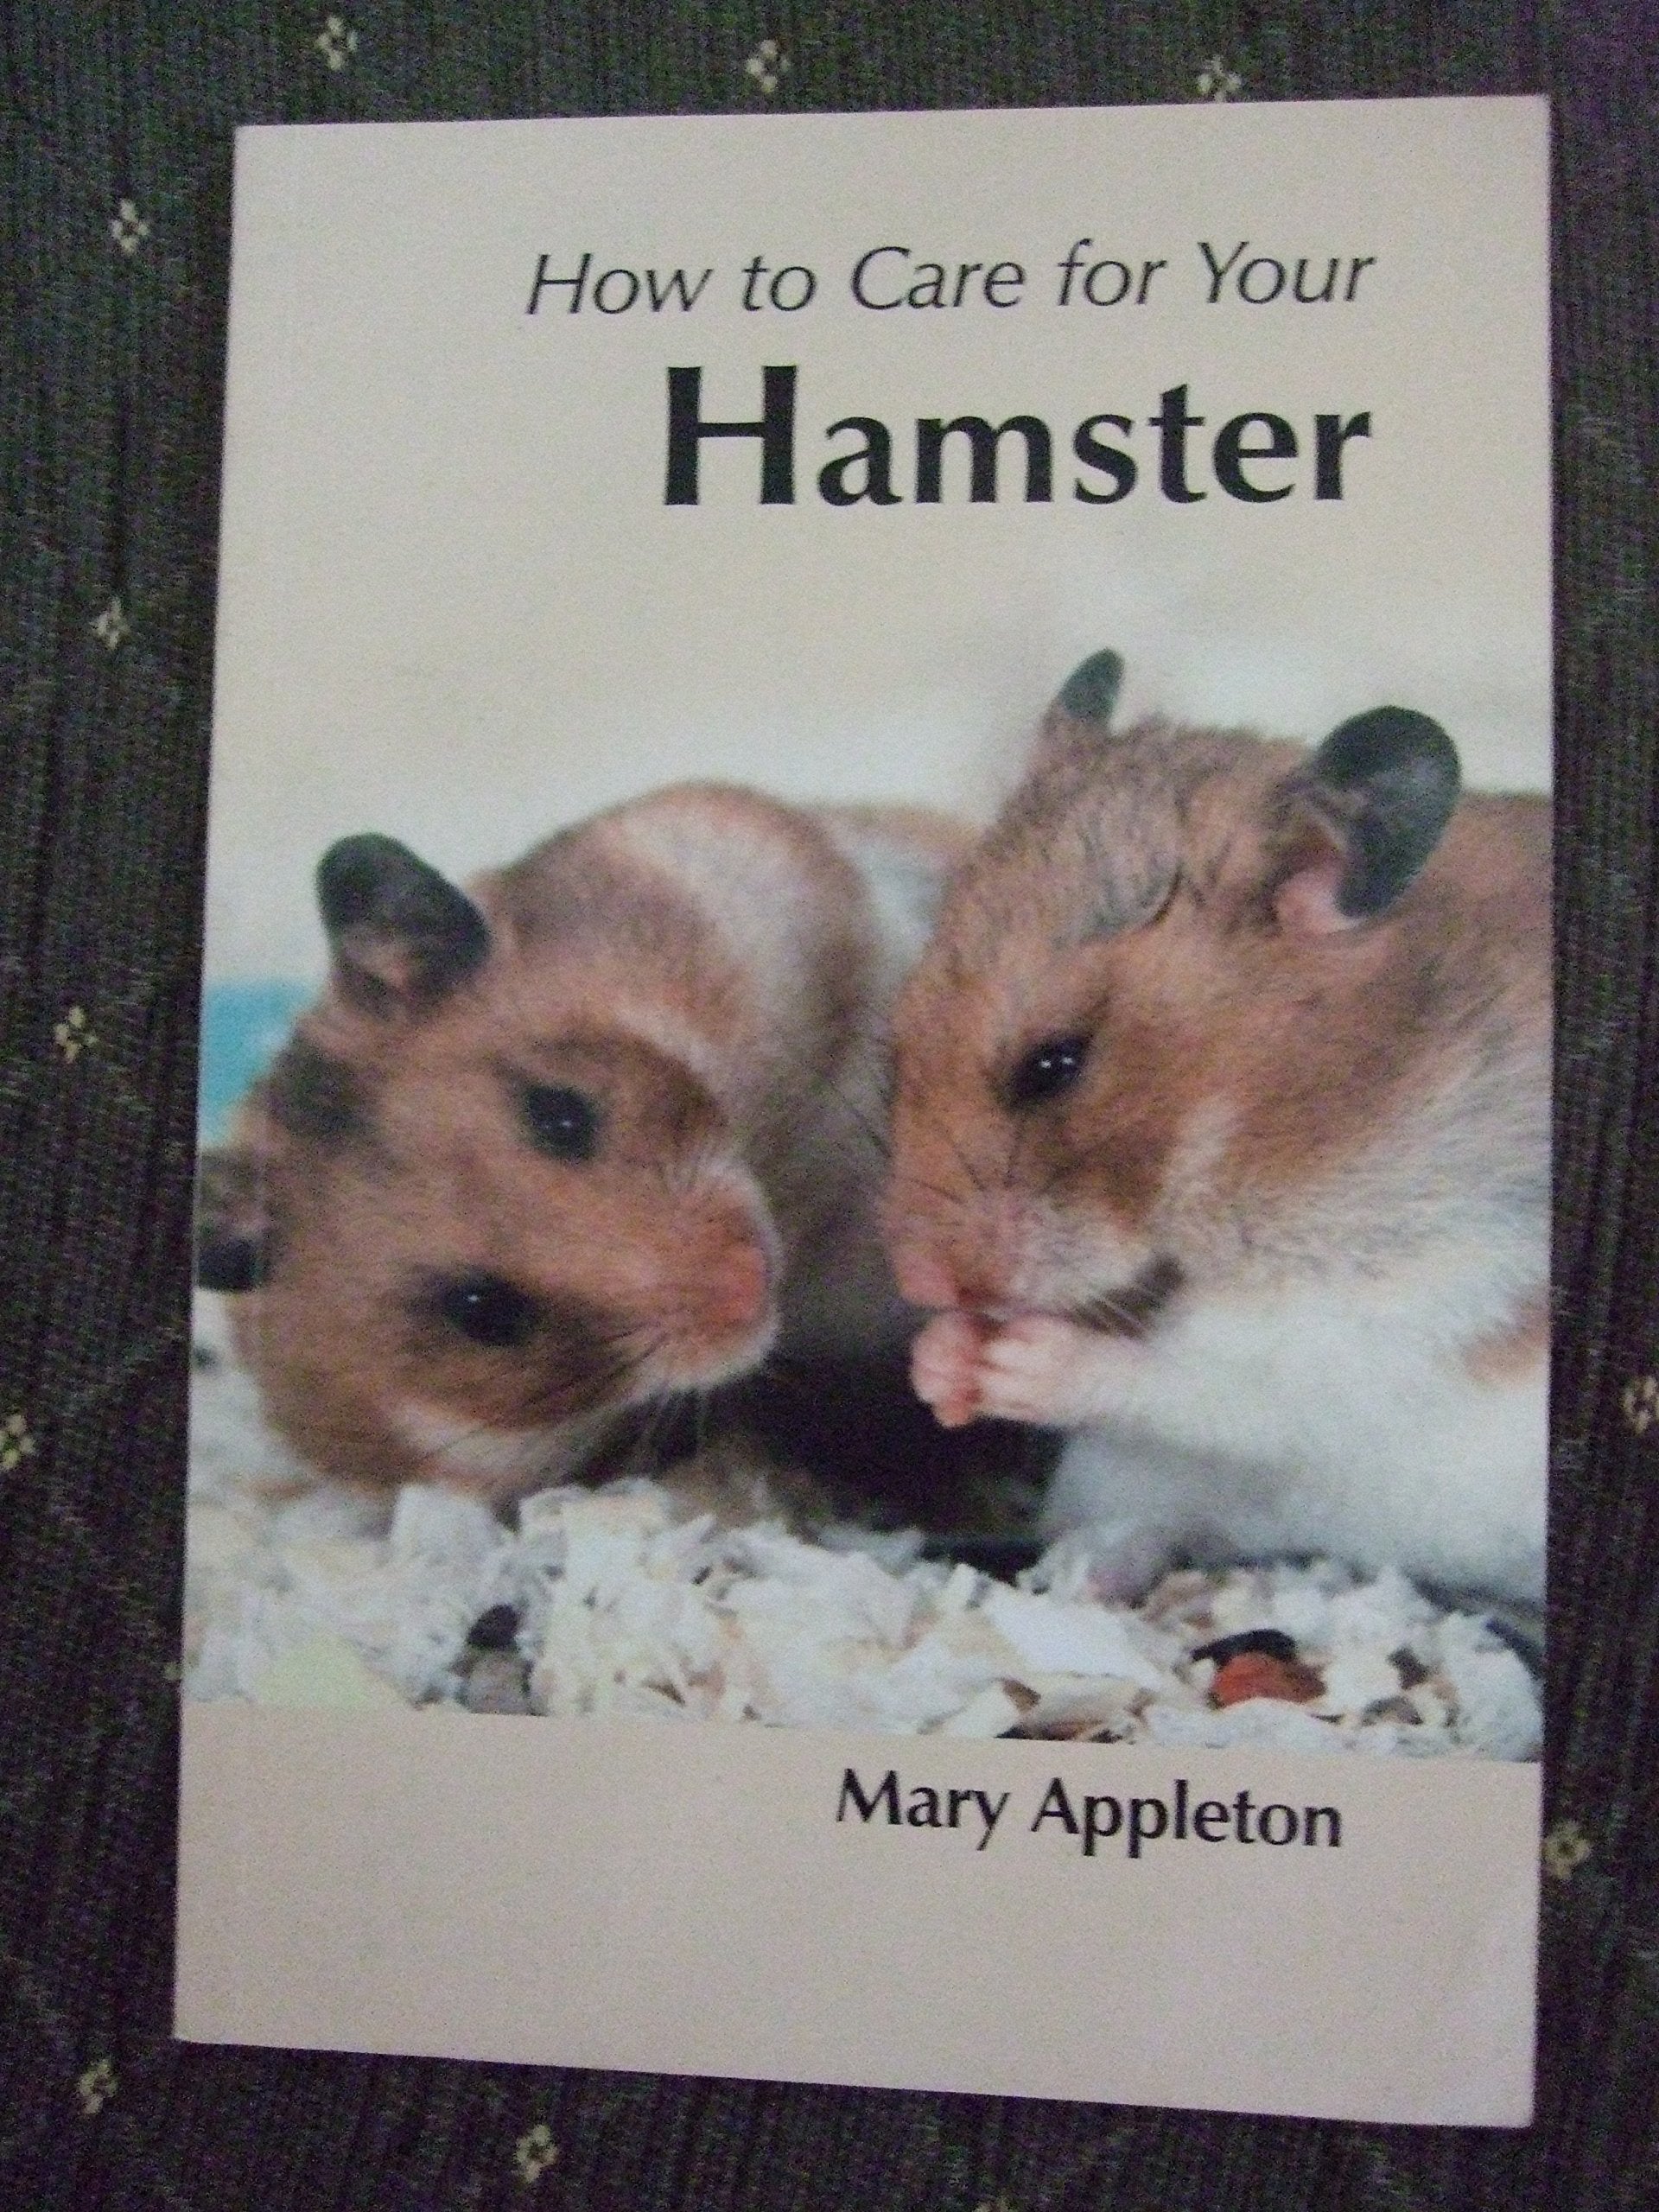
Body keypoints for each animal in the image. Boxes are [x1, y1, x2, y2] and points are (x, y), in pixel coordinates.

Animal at [884, 650, 1550, 1608]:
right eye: (897, 1041)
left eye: (1056, 1063)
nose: (920, 1281)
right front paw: (941, 1365)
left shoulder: (1377, 1314)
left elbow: (1199, 1378)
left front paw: (1012, 1363)